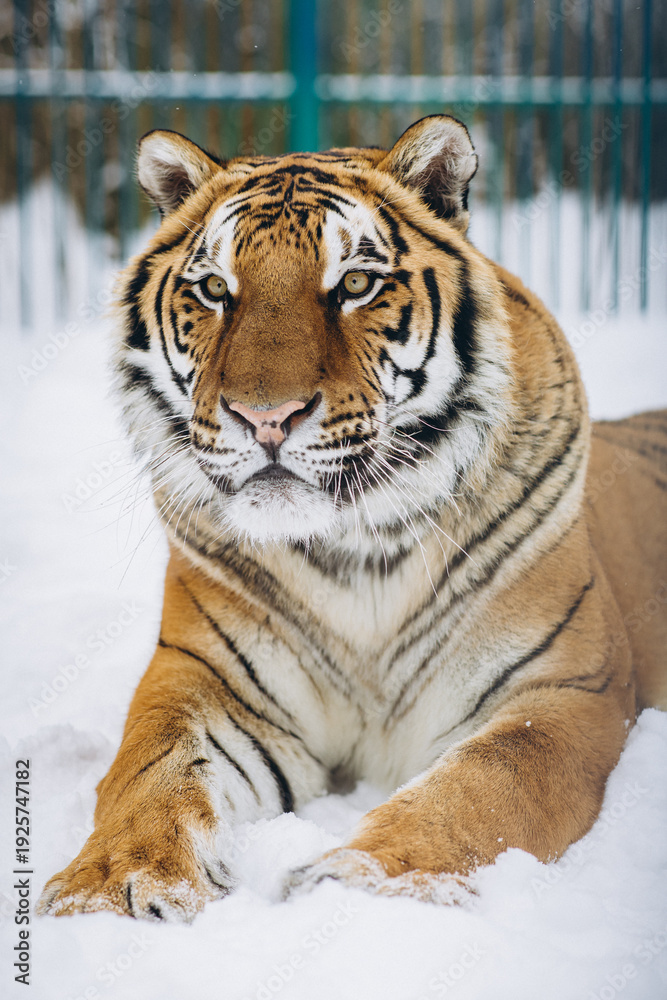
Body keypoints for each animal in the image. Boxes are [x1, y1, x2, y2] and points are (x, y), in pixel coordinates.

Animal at [37, 114, 667, 921]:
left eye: (356, 285)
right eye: (214, 289)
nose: (264, 418)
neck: (358, 546)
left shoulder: (563, 693)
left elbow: (486, 787)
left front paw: (352, 883)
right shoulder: (206, 681)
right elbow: (151, 769)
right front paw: (119, 885)